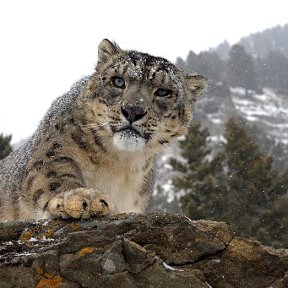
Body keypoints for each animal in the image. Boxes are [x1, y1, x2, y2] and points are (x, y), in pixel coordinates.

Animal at [0, 38, 207, 220]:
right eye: (118, 81)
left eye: (163, 92)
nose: (133, 110)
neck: (119, 163)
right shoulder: (54, 149)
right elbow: (53, 174)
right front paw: (81, 199)